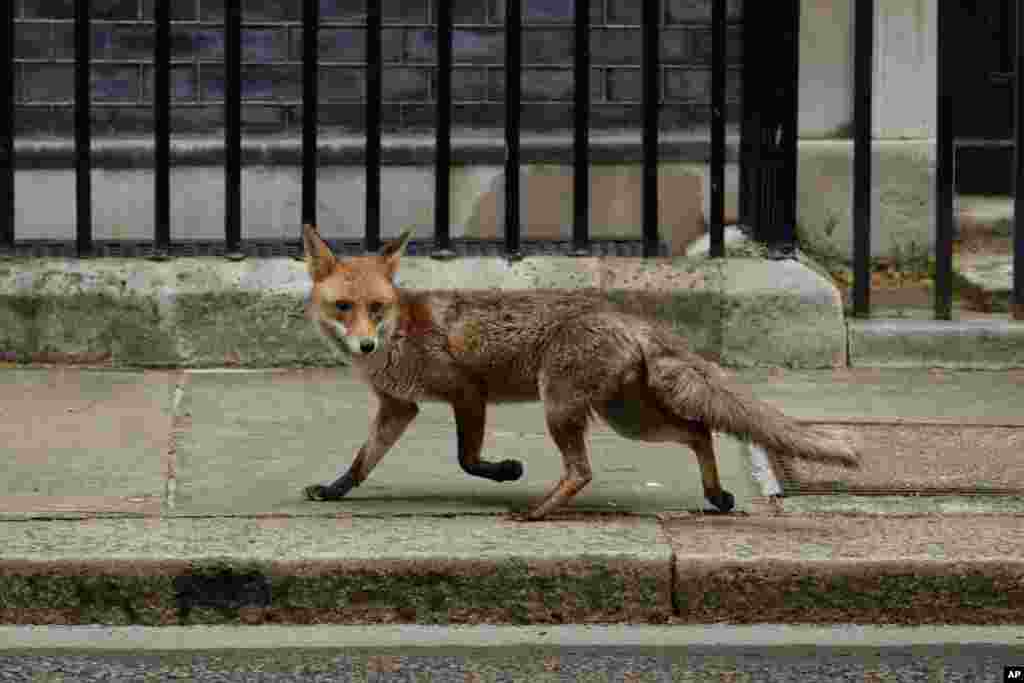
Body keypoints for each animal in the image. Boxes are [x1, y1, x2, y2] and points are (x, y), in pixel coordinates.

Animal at [301, 223, 860, 520]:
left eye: (376, 307)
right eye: (344, 307)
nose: (365, 343)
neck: (400, 336)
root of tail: (626, 316)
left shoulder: (467, 393)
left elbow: (467, 459)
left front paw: (506, 471)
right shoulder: (398, 407)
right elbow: (362, 462)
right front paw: (333, 491)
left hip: (563, 407)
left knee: (583, 470)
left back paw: (537, 512)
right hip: (628, 418)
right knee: (699, 430)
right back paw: (716, 496)